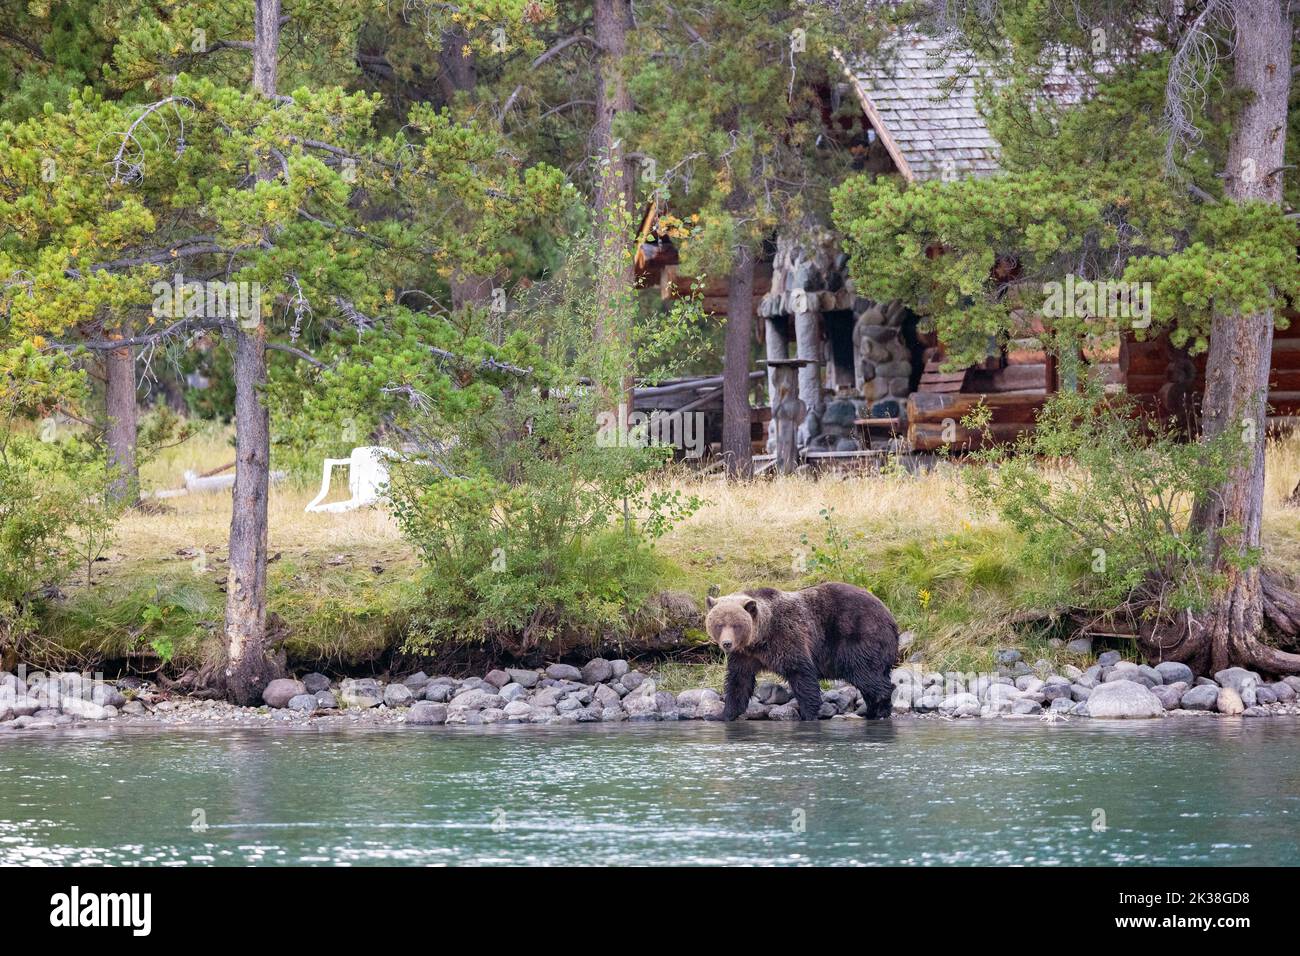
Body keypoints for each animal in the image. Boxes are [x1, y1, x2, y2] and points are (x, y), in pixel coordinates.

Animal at [707, 582, 899, 717]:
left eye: (737, 625)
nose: (727, 643)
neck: (760, 639)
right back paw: (872, 711)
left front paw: (808, 713)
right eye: (719, 624)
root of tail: (890, 615)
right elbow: (738, 682)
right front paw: (723, 714)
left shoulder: (787, 637)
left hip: (860, 636)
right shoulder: (744, 655)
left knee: (865, 673)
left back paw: (880, 710)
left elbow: (802, 674)